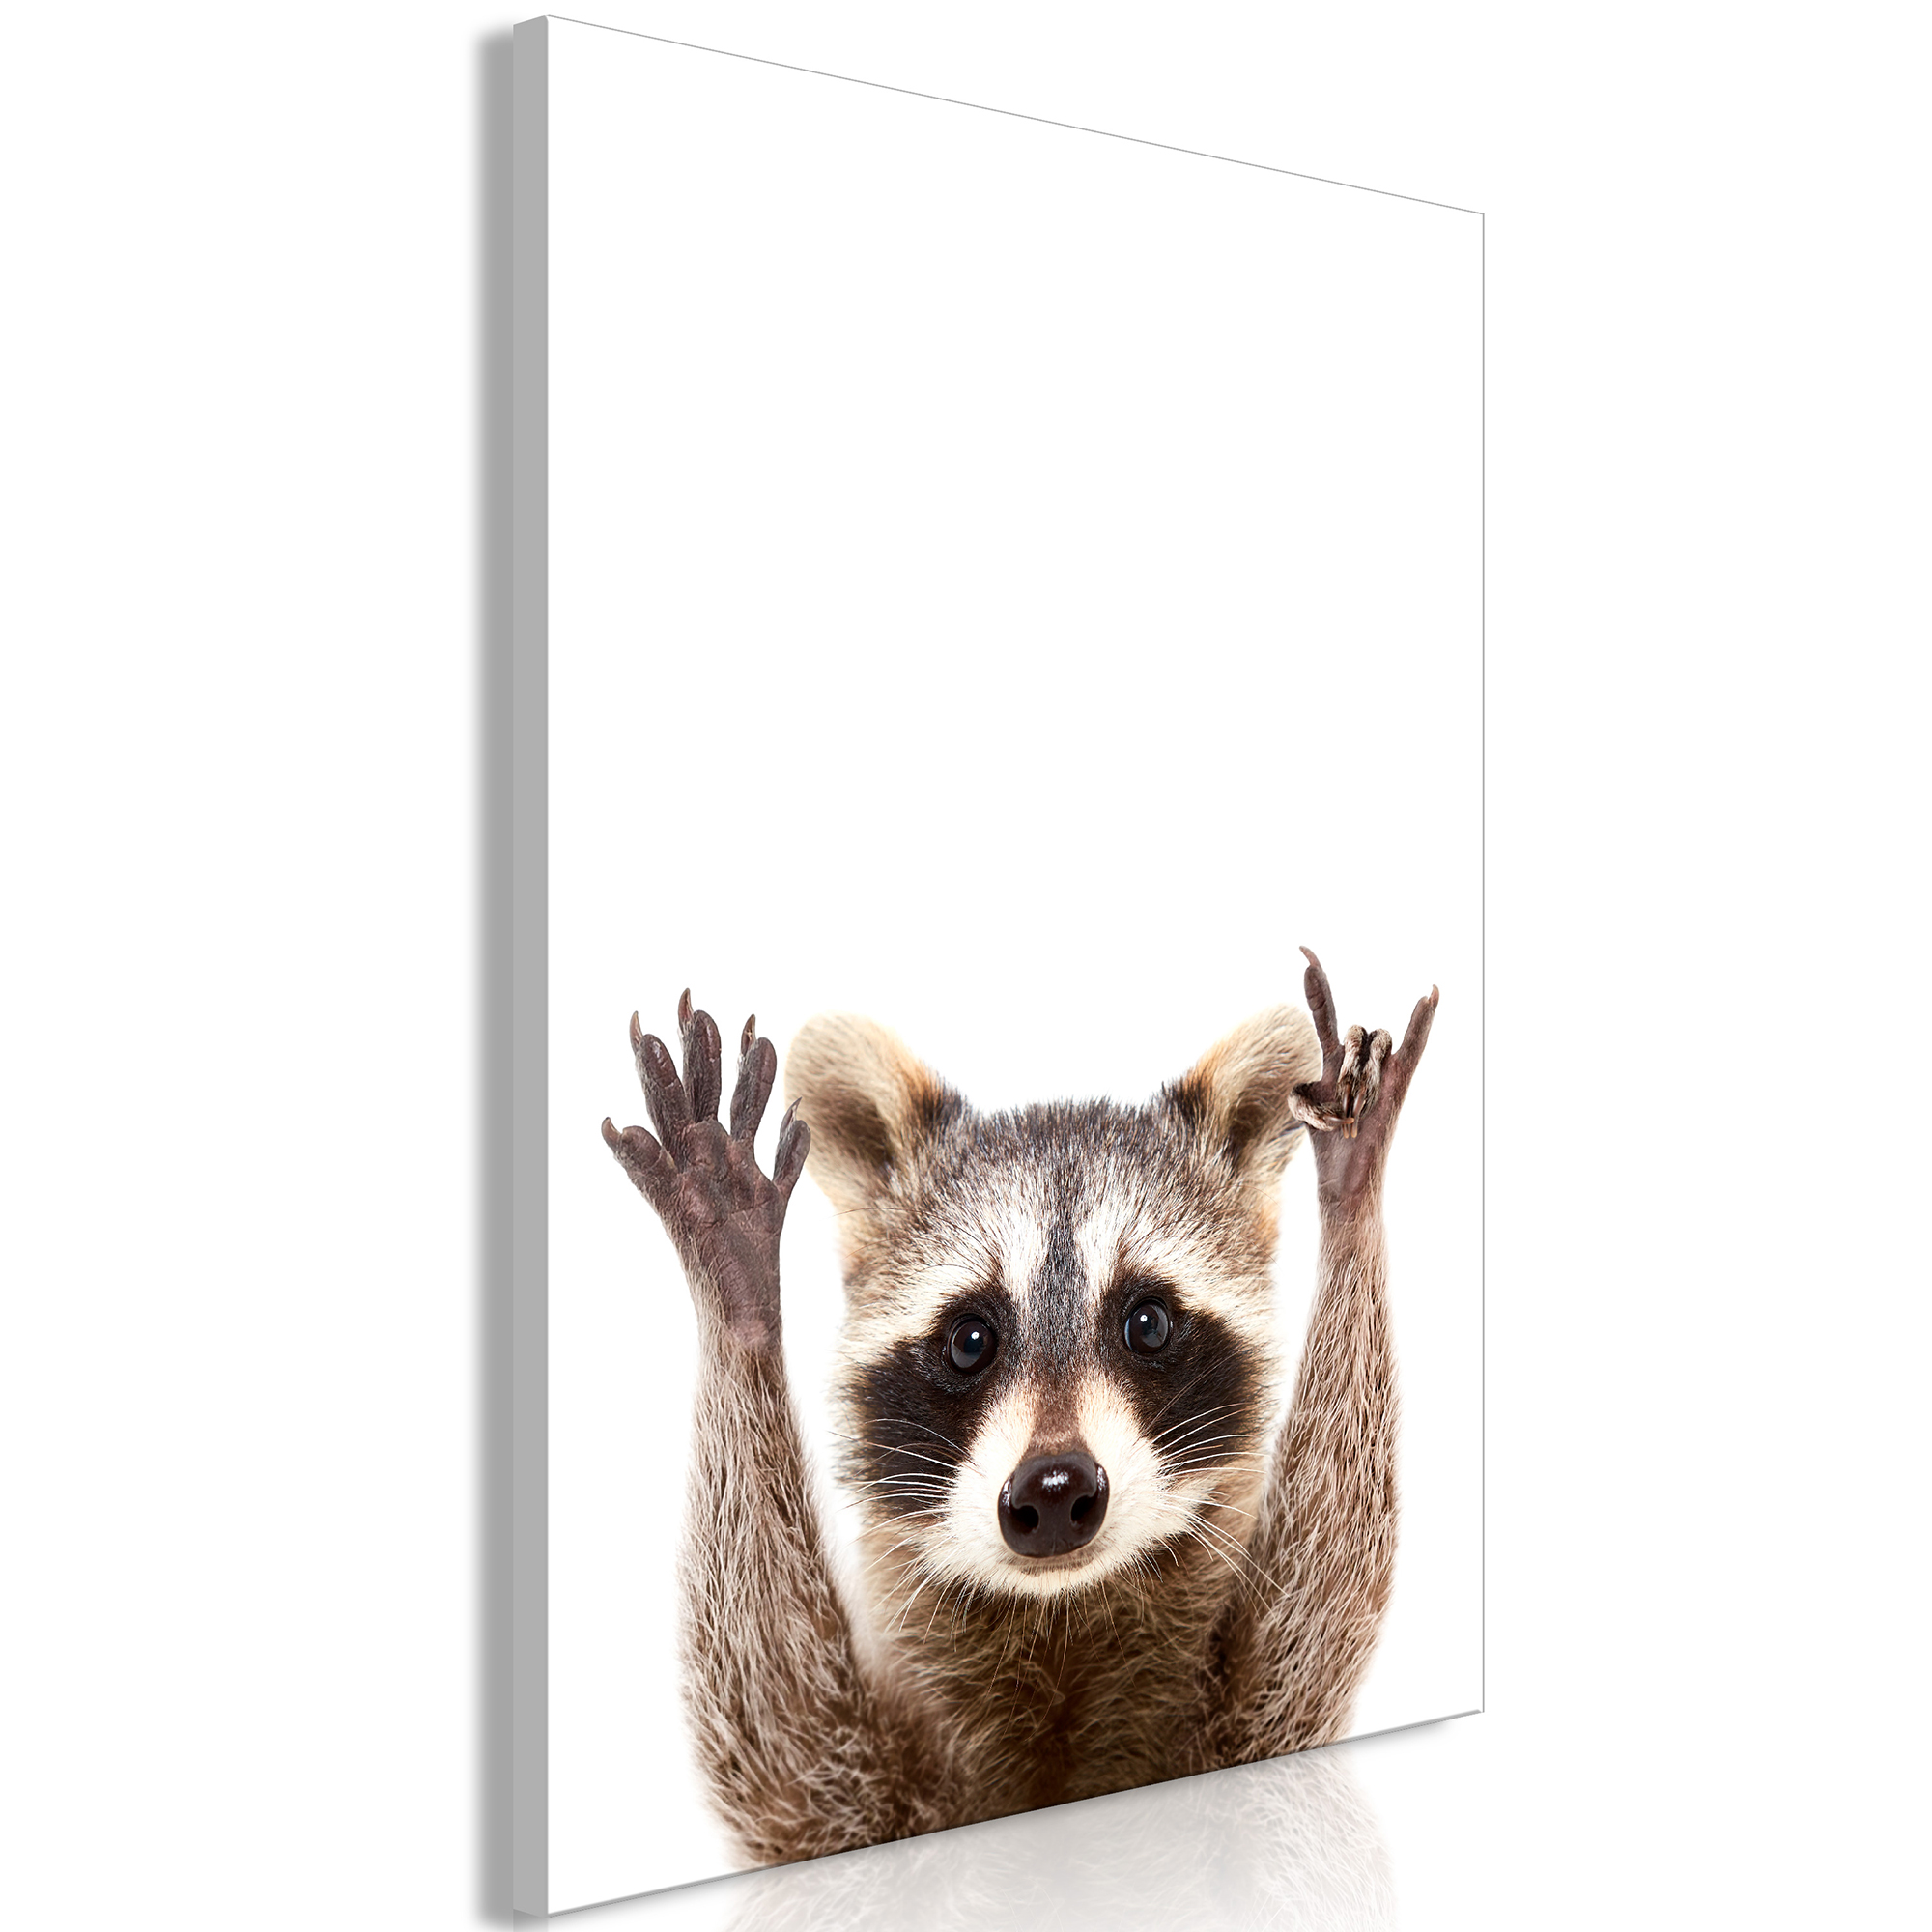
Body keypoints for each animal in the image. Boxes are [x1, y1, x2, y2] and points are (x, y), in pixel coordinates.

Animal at [601, 949, 1436, 1868]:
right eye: (971, 1340)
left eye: (1147, 1322)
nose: (1054, 1489)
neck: (1060, 1622)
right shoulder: (860, 1803)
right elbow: (778, 1740)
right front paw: (737, 1290)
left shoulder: (1249, 1738)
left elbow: (1316, 1612)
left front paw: (1352, 1189)